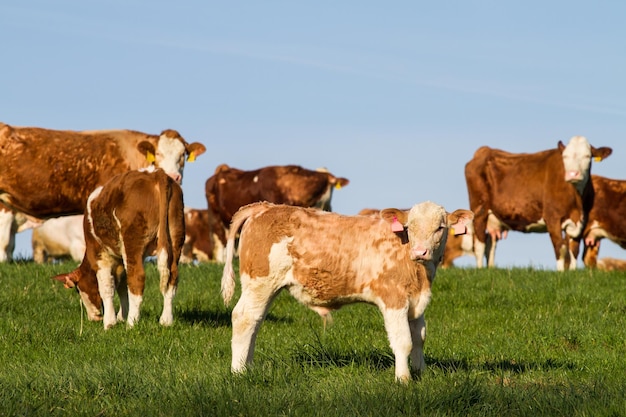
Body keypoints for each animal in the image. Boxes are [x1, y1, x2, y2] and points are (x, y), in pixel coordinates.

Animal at [52, 167, 184, 330]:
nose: (93, 318)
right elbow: (122, 286)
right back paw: (166, 320)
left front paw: (110, 322)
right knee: (172, 277)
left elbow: (107, 287)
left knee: (137, 278)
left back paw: (131, 323)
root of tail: (155, 173)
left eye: (78, 289)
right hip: (175, 237)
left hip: (132, 242)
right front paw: (121, 316)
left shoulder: (98, 254)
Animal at [219, 201, 468, 380]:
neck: (420, 276)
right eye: (410, 227)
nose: (420, 252)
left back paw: (248, 367)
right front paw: (403, 379)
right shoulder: (393, 298)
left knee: (256, 322)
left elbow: (419, 337)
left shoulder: (416, 302)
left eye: (440, 228)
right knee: (244, 318)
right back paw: (239, 372)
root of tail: (265, 206)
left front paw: (419, 373)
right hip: (260, 283)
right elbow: (403, 340)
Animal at [464, 136, 608, 270]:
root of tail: (485, 150)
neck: (577, 203)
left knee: (491, 243)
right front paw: (561, 274)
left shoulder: (581, 221)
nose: (572, 174)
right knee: (480, 244)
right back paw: (480, 269)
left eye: (587, 156)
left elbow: (574, 250)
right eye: (565, 156)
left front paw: (572, 273)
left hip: (494, 217)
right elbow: (560, 248)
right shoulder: (552, 218)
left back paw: (491, 269)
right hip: (479, 210)